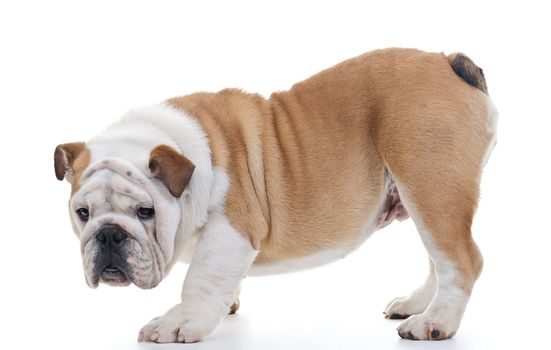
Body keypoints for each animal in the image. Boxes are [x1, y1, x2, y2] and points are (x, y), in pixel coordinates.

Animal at [54, 48, 498, 342]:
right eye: (82, 213)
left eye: (146, 212)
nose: (108, 235)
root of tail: (449, 61)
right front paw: (225, 304)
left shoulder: (229, 232)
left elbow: (200, 278)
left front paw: (180, 321)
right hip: (427, 195)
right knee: (437, 258)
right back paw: (417, 304)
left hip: (432, 184)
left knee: (460, 259)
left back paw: (435, 322)